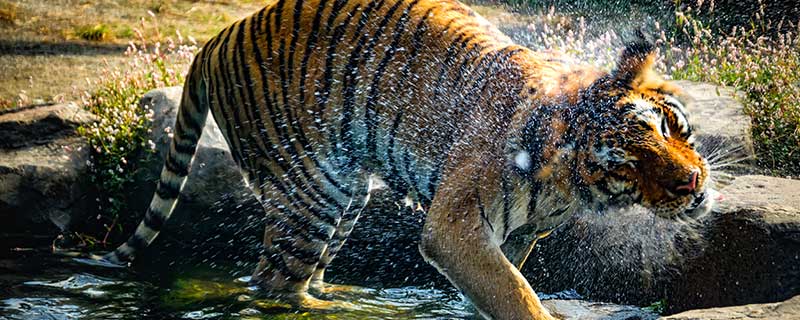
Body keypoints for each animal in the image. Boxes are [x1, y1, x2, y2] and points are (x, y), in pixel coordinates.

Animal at [97, 0, 716, 318]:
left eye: (666, 127)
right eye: (626, 164)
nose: (690, 184)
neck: (572, 187)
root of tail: (215, 39)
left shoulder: (514, 235)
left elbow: (502, 285)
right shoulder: (455, 225)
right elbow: (516, 294)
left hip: (345, 193)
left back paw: (343, 296)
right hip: (311, 194)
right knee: (274, 285)